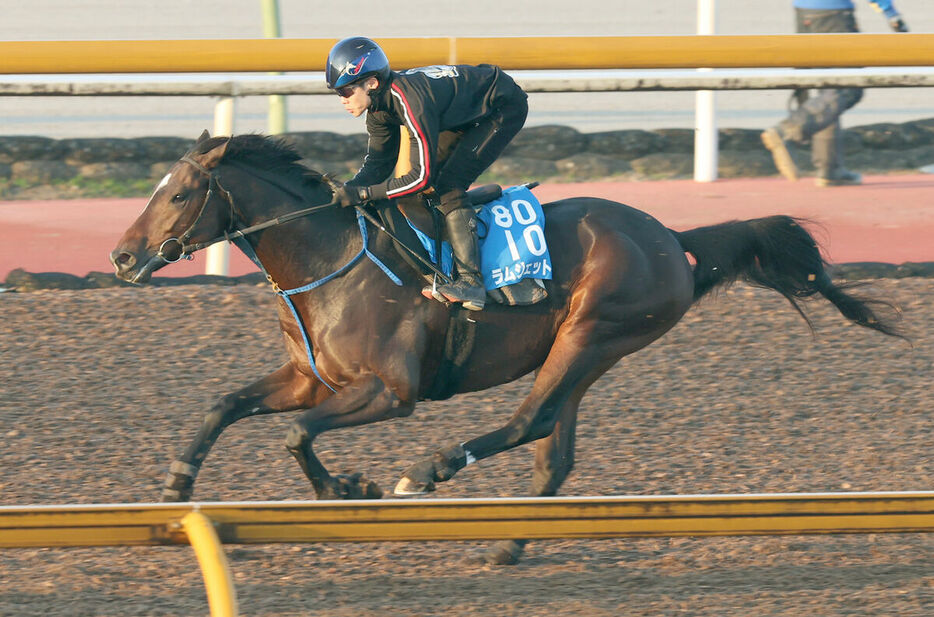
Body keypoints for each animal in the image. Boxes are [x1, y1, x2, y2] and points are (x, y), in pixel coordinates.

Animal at [111, 132, 908, 564]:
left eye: (178, 194)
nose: (121, 257)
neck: (328, 256)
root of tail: (670, 237)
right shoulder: (311, 377)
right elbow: (225, 405)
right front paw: (175, 489)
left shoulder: (391, 392)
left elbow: (297, 437)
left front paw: (348, 489)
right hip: (587, 352)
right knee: (553, 449)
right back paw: (507, 543)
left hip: (592, 333)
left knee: (529, 422)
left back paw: (429, 470)